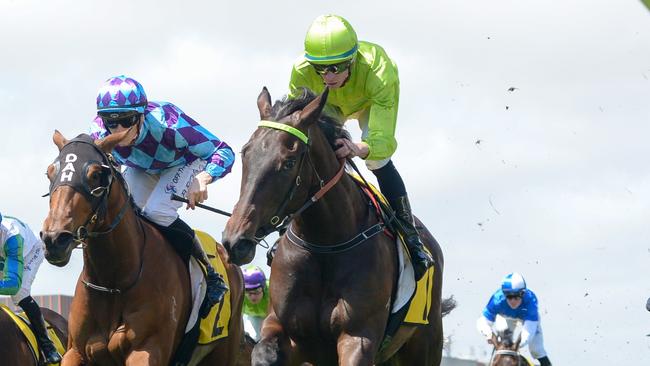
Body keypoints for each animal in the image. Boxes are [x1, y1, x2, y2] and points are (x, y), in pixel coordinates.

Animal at [39, 132, 243, 366]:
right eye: (50, 173)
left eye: (96, 174)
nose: (55, 239)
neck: (113, 282)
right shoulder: (75, 351)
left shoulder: (147, 349)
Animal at [221, 88, 450, 366]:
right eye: (246, 153)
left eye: (289, 162)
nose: (235, 241)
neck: (325, 245)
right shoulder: (284, 330)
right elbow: (264, 353)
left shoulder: (358, 336)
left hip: (424, 344)